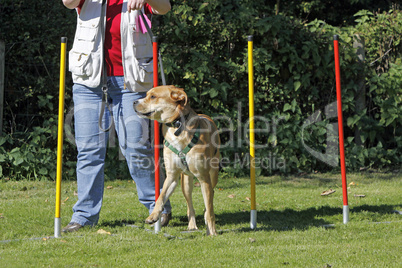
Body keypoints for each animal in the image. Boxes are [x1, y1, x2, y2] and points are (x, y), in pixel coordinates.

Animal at [133, 85, 220, 234]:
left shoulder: (204, 178)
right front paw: (153, 216)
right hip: (186, 183)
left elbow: (210, 210)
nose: (134, 102)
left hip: (213, 175)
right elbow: (161, 197)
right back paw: (192, 225)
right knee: (189, 204)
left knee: (211, 197)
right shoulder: (172, 176)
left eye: (153, 96)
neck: (176, 127)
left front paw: (212, 232)